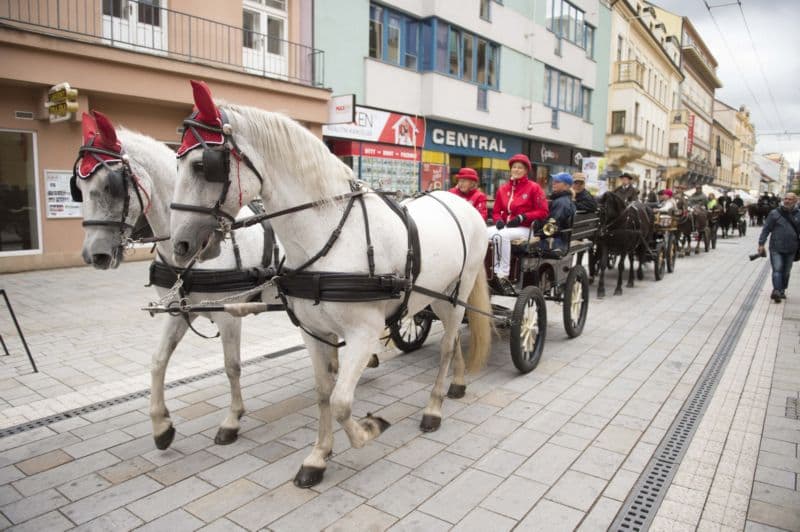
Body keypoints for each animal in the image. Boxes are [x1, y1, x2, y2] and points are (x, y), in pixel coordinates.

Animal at [74, 111, 282, 448]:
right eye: (77, 186)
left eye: (110, 185)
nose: (95, 255)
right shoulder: (178, 311)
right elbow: (158, 361)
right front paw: (161, 424)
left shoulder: (229, 316)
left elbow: (232, 366)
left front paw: (232, 420)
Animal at [172, 81, 490, 488]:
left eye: (202, 166)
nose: (180, 244)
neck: (331, 233)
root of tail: (458, 200)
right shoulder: (313, 331)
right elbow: (325, 393)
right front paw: (318, 457)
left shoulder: (364, 333)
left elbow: (341, 402)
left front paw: (369, 429)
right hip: (436, 298)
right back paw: (457, 383)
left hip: (458, 292)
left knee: (449, 346)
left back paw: (434, 408)